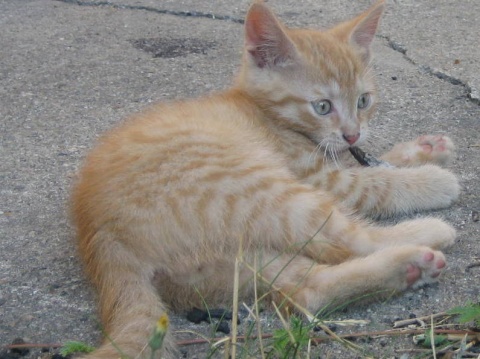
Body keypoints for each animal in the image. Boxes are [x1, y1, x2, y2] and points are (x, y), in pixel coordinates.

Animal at [72, 1, 462, 358]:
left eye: (363, 101)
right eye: (322, 106)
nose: (352, 133)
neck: (265, 114)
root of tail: (102, 240)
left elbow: (375, 162)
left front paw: (425, 148)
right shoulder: (323, 180)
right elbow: (376, 182)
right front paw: (432, 178)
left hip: (228, 265)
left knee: (306, 292)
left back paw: (408, 268)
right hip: (266, 191)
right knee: (348, 241)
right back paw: (426, 232)